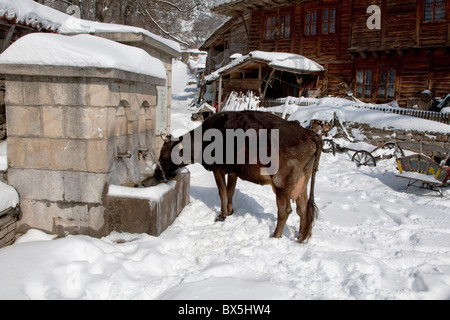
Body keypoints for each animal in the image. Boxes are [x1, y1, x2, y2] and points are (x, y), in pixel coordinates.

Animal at [156, 110, 322, 242]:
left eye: (163, 154)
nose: (157, 174)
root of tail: (310, 134)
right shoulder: (233, 171)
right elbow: (230, 191)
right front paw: (230, 212)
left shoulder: (218, 168)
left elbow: (222, 192)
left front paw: (221, 216)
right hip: (301, 182)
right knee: (302, 209)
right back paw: (299, 238)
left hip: (281, 182)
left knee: (285, 211)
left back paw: (275, 237)